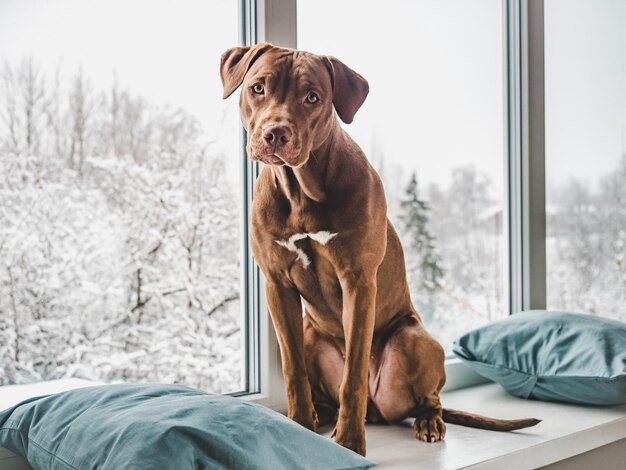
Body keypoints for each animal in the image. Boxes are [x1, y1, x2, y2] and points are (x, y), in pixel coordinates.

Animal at [219, 43, 536, 456]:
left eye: (312, 97)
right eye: (258, 88)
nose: (276, 133)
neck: (301, 189)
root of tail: (379, 410)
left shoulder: (357, 282)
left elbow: (353, 373)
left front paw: (350, 442)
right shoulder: (277, 284)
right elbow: (293, 370)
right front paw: (300, 427)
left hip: (412, 339)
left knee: (428, 397)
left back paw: (427, 421)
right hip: (310, 333)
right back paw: (321, 416)